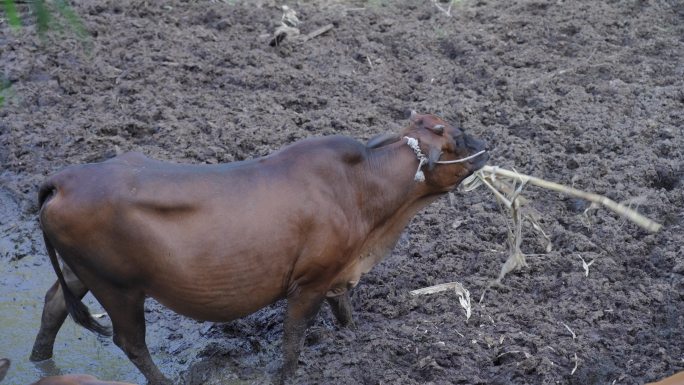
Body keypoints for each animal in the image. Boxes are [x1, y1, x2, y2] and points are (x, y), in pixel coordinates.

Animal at [28, 112, 486, 382]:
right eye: (455, 136)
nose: (487, 143)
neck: (363, 186)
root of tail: (64, 179)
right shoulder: (310, 281)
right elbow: (293, 338)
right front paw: (286, 374)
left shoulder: (338, 271)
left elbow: (345, 312)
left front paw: (355, 337)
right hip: (118, 287)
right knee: (131, 342)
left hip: (80, 271)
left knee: (53, 305)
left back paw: (40, 362)